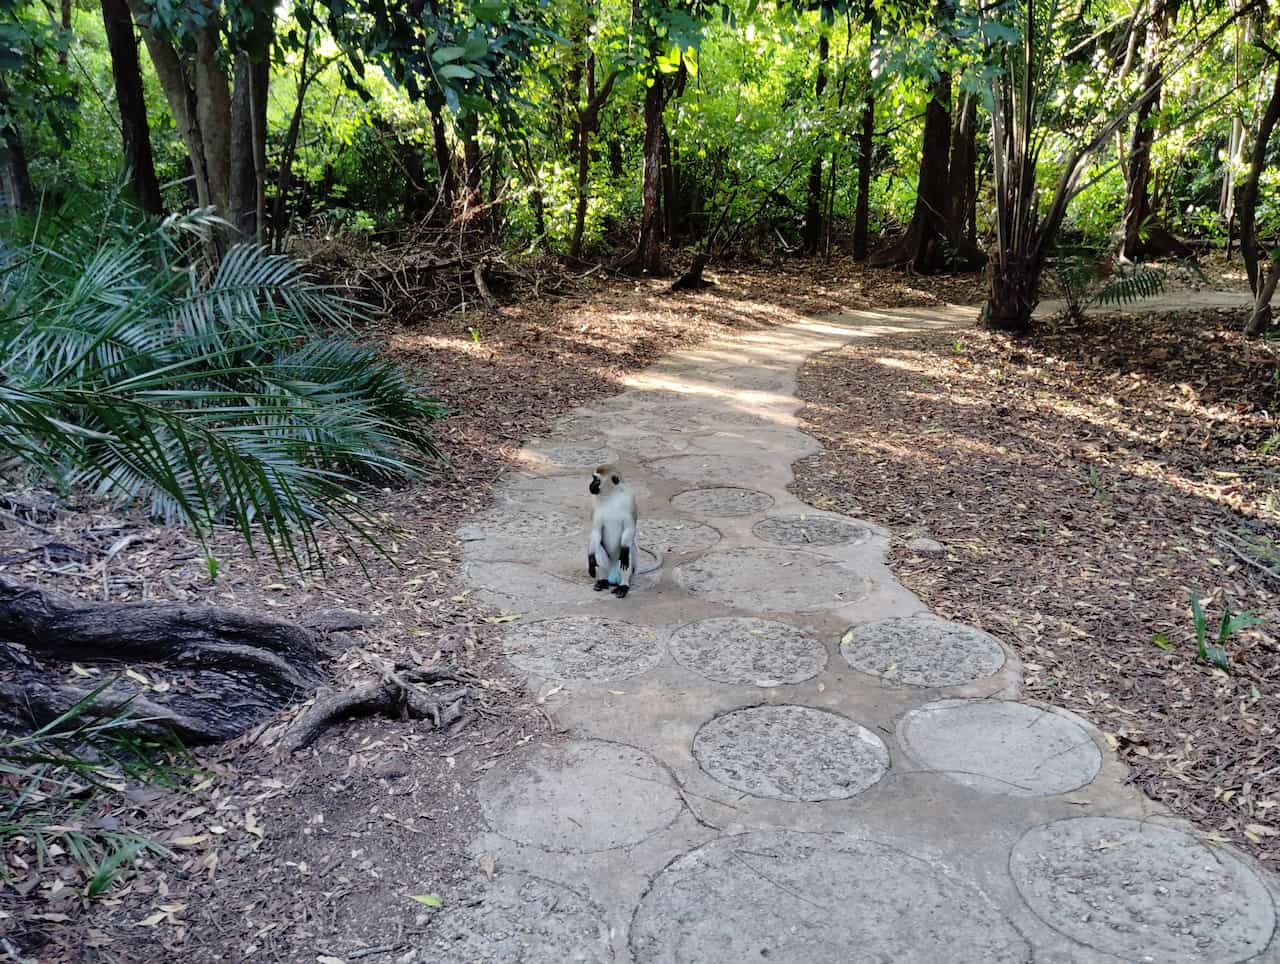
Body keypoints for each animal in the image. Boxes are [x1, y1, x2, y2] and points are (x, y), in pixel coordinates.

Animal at [588, 463, 640, 599]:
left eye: (597, 480)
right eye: (593, 478)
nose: (590, 485)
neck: (611, 495)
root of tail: (613, 576)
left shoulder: (630, 499)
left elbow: (629, 528)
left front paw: (625, 549)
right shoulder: (594, 502)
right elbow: (596, 532)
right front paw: (590, 558)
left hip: (622, 566)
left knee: (627, 555)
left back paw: (623, 586)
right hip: (608, 565)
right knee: (598, 548)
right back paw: (602, 581)